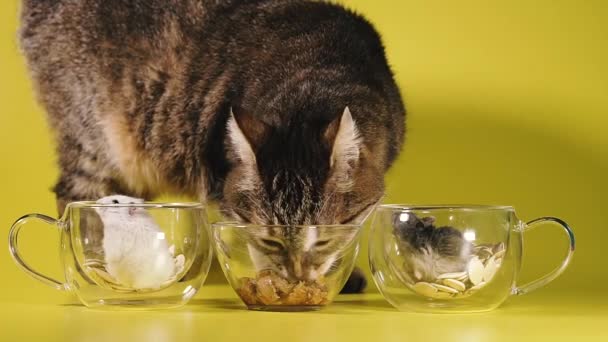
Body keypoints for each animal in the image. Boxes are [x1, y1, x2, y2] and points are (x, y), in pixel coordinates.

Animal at [19, 0, 406, 294]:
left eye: (323, 241)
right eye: (272, 241)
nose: (295, 275)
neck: (312, 80)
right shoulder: (224, 190)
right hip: (98, 140)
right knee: (77, 199)